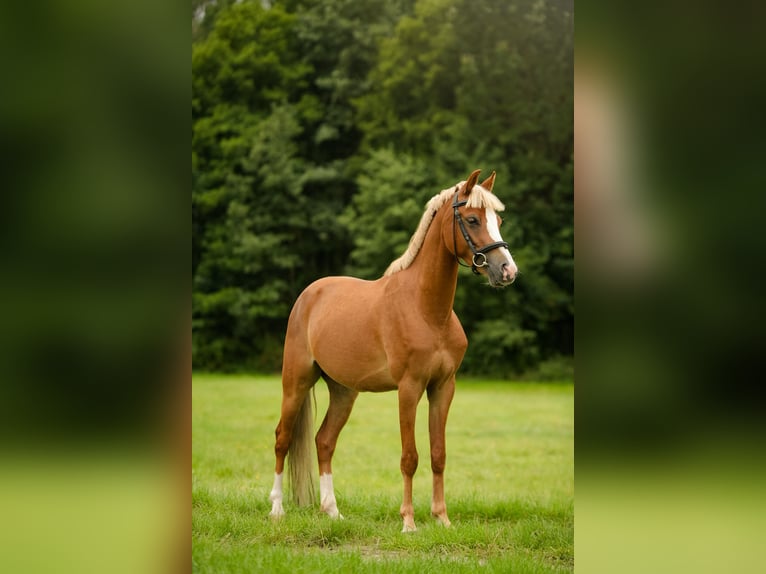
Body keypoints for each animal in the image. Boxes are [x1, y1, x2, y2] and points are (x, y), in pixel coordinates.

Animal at [268, 169, 518, 532]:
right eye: (472, 219)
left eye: (497, 220)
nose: (507, 271)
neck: (427, 310)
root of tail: (309, 295)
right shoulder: (409, 389)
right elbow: (409, 457)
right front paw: (409, 522)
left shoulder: (443, 388)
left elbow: (439, 454)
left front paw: (442, 519)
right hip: (296, 382)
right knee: (283, 438)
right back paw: (276, 509)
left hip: (343, 391)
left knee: (324, 441)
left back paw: (332, 510)